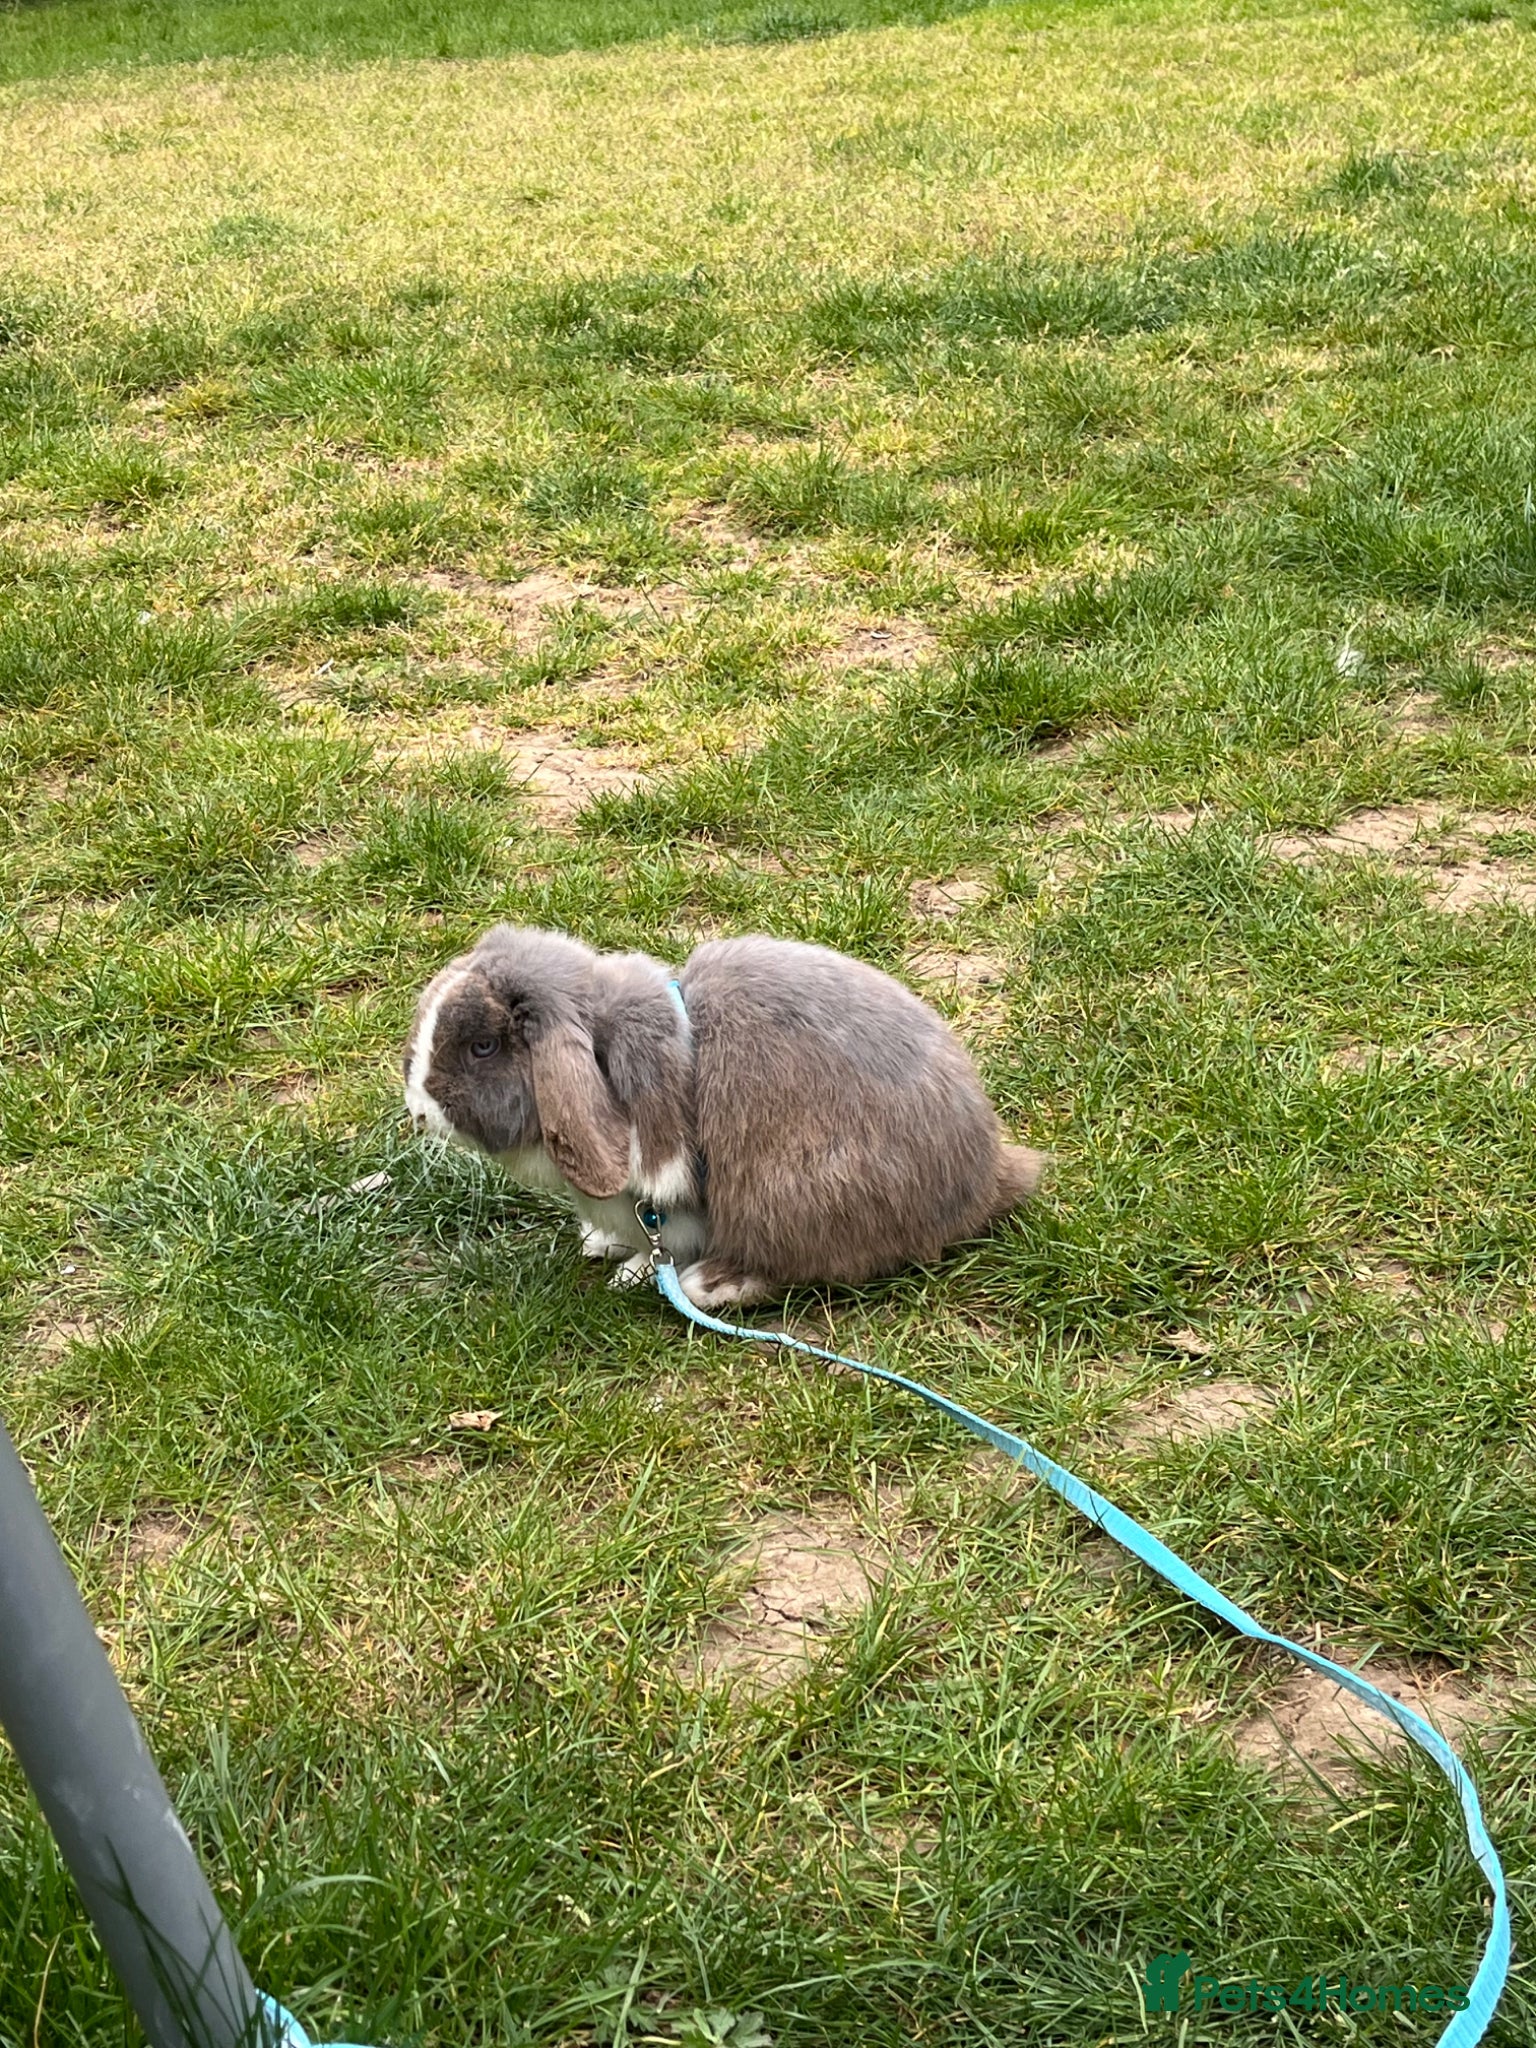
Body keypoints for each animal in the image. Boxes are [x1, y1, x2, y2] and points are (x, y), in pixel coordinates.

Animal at [403, 924, 1048, 1310]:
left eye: (482, 1047)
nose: (417, 1110)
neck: (606, 1055)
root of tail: (985, 1181)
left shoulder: (670, 1196)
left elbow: (663, 1239)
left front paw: (630, 1271)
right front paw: (600, 1244)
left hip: (786, 1194)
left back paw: (708, 1285)